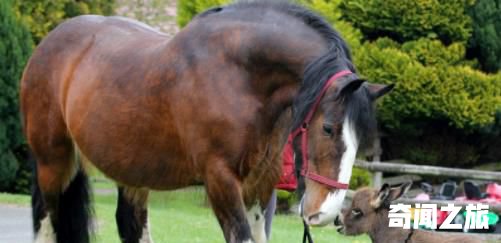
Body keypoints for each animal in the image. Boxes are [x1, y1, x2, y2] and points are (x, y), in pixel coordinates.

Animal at [20, 0, 390, 242]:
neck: (238, 77)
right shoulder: (220, 181)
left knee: (130, 223)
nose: (323, 213)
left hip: (131, 171)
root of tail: (50, 42)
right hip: (53, 163)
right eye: (328, 128)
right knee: (47, 219)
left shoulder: (260, 185)